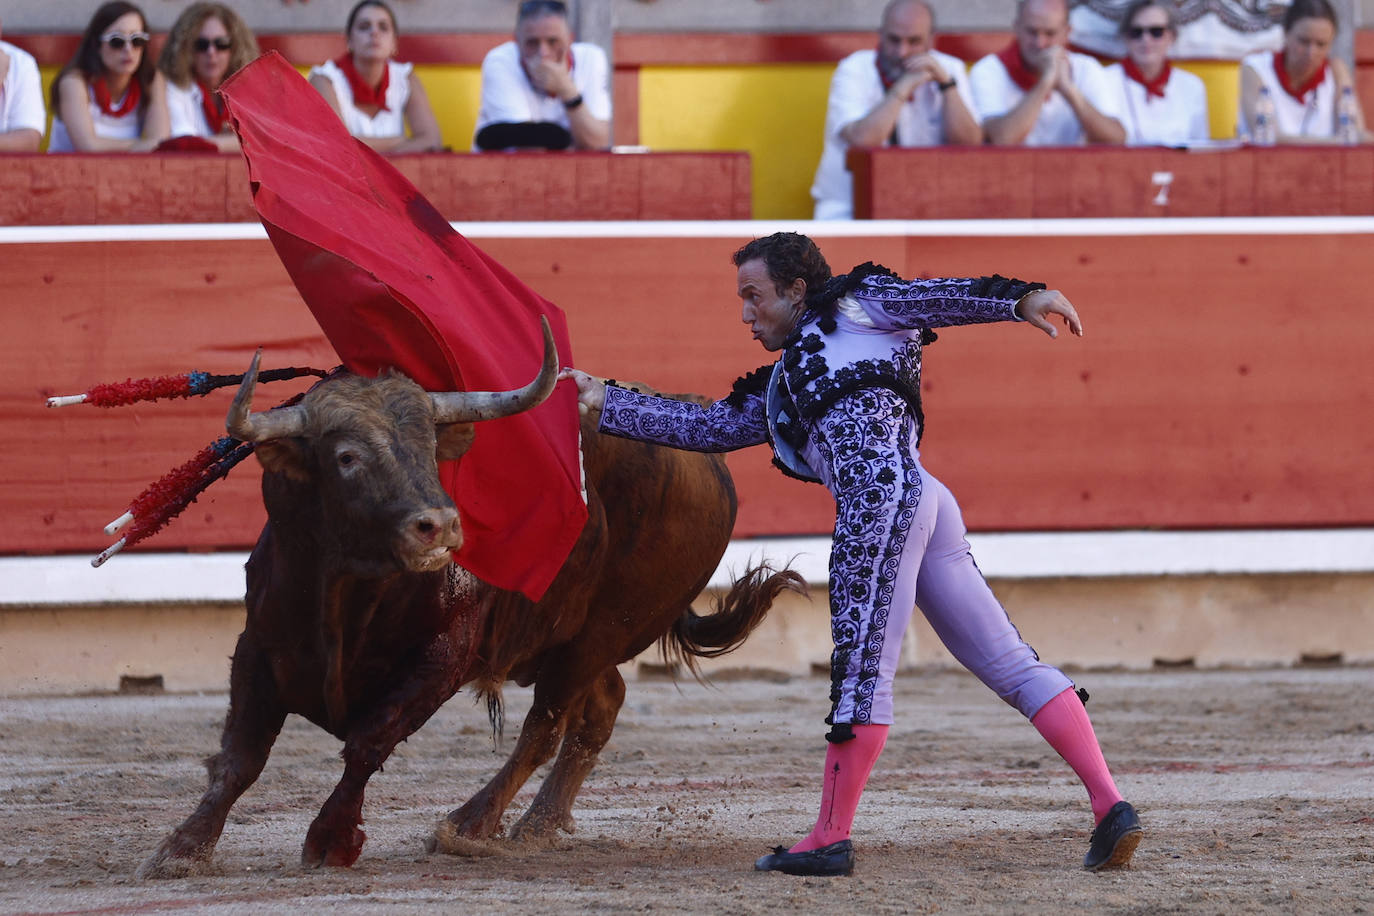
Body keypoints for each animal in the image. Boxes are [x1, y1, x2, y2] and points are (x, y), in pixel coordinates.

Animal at [136, 325, 802, 878]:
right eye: (346, 457)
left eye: (431, 449)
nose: (440, 526)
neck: (346, 591)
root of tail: (711, 466)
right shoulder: (257, 650)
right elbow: (240, 758)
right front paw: (182, 849)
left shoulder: (443, 659)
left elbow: (367, 743)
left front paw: (331, 840)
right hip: (577, 638)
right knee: (601, 707)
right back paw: (537, 825)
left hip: (603, 631)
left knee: (545, 725)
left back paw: (471, 825)